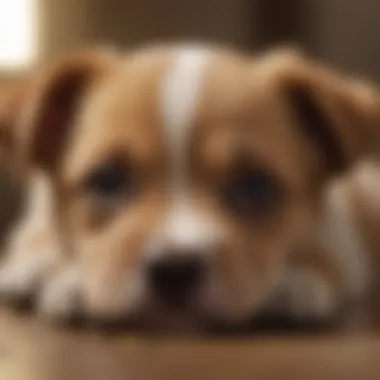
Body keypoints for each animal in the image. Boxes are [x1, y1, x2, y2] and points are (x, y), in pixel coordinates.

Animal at [0, 43, 380, 330]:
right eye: (107, 179)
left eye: (255, 184)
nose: (175, 270)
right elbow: (42, 236)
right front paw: (57, 273)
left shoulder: (343, 234)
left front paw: (296, 281)